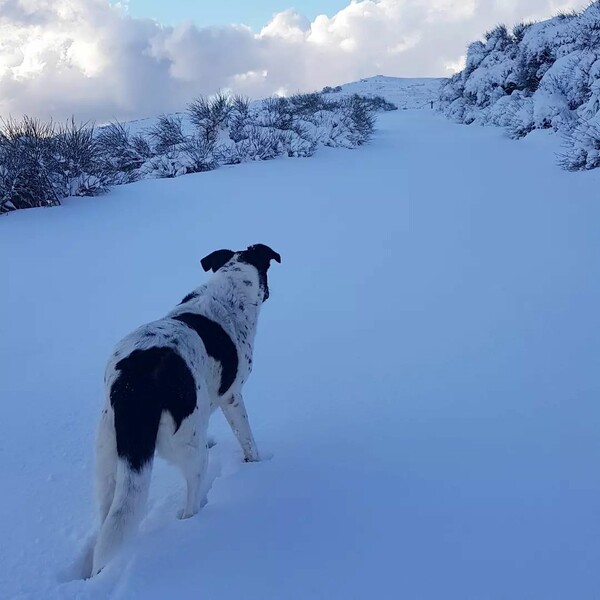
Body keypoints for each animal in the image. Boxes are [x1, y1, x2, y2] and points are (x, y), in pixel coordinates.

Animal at [91, 244, 282, 576]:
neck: (229, 288)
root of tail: (135, 381)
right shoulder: (232, 397)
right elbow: (248, 439)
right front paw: (255, 463)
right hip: (190, 447)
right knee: (190, 503)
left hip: (107, 454)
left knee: (108, 518)